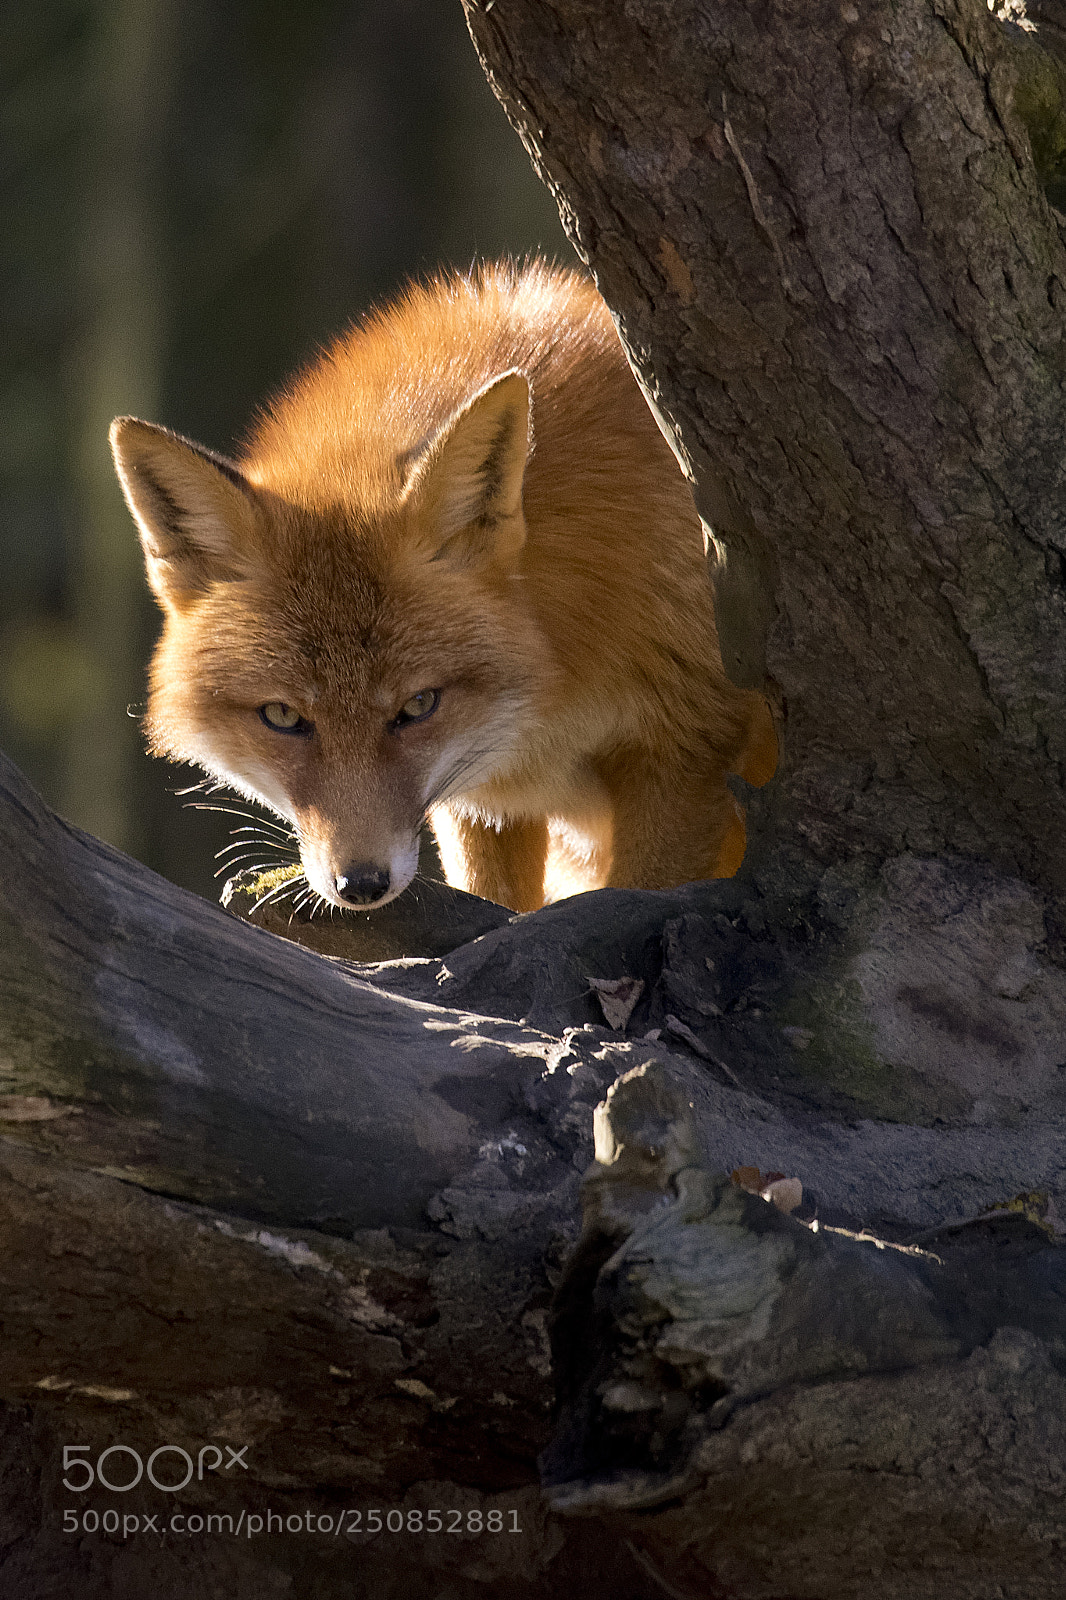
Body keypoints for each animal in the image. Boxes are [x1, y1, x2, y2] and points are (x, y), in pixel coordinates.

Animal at [111, 261, 775, 916]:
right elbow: (493, 900)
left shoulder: (688, 748)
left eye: (418, 706)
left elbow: (641, 894)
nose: (361, 884)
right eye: (282, 716)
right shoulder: (479, 792)